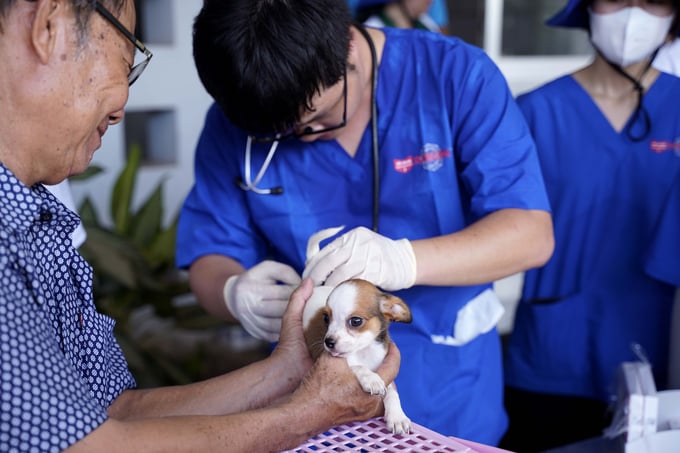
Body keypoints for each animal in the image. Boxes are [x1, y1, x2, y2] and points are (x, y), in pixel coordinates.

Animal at [304, 278, 412, 432]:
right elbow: (359, 366)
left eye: (356, 321)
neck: (364, 351)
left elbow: (392, 392)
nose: (328, 342)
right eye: (325, 318)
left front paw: (398, 416)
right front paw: (371, 378)